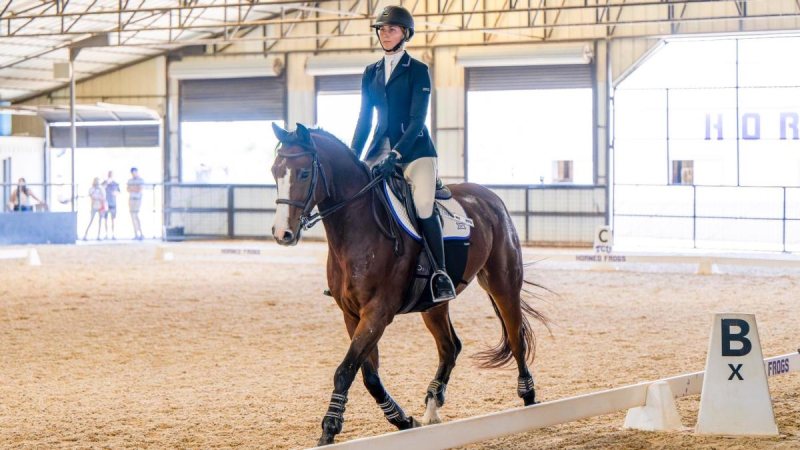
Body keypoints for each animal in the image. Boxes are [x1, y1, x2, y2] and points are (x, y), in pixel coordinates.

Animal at [268, 123, 544, 446]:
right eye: (275, 171)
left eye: (303, 173)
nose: (282, 234)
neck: (358, 228)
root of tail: (490, 197)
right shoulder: (352, 314)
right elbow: (369, 375)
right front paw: (401, 419)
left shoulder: (377, 312)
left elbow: (345, 370)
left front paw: (329, 430)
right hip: (434, 304)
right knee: (450, 346)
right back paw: (433, 404)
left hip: (502, 282)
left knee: (515, 337)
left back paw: (529, 398)